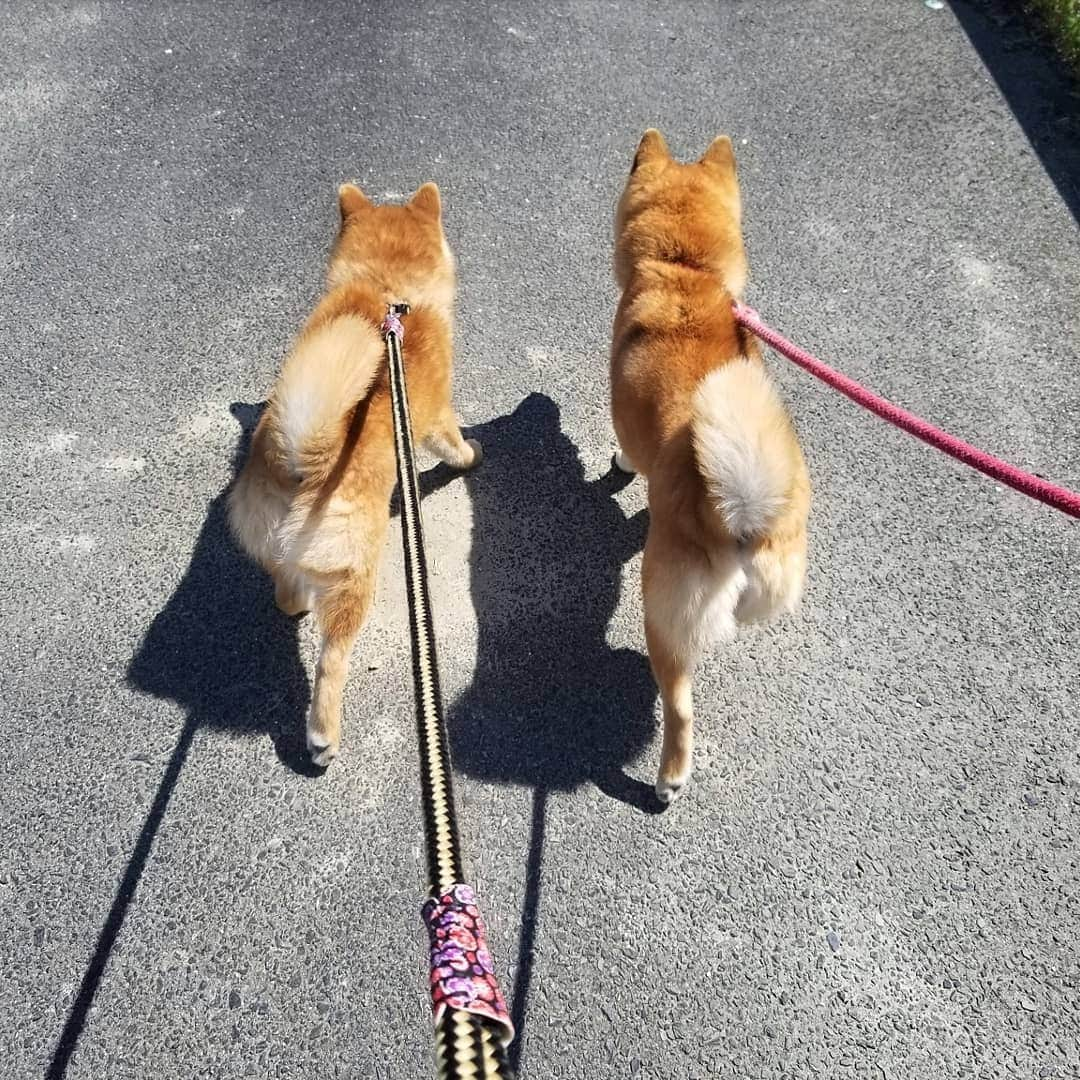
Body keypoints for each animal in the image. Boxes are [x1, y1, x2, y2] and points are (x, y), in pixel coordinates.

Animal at [613, 128, 807, 803]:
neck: (686, 271)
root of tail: (741, 516)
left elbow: (625, 453)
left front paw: (619, 466)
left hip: (663, 613)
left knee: (680, 708)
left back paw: (669, 778)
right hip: (779, 576)